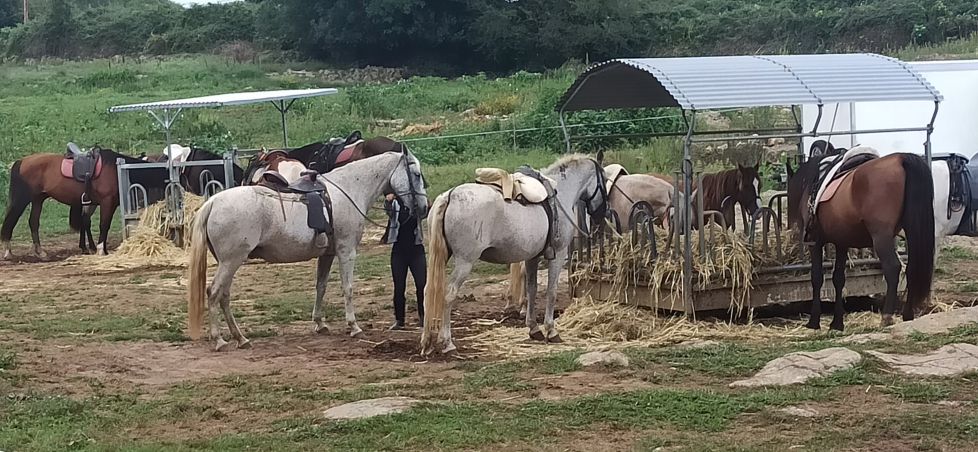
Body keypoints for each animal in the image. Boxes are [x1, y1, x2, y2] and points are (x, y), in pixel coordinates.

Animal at [2, 147, 168, 259]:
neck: (116, 169)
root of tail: (21, 161)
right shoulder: (107, 202)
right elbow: (104, 225)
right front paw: (101, 250)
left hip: (38, 199)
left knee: (33, 223)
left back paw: (40, 252)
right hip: (22, 200)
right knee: (10, 222)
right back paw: (8, 252)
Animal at [186, 150, 428, 351]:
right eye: (416, 174)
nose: (424, 208)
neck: (349, 189)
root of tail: (213, 202)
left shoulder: (327, 255)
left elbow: (321, 287)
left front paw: (320, 323)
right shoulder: (346, 251)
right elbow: (348, 288)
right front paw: (353, 326)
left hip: (230, 263)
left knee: (224, 296)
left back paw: (240, 338)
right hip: (231, 261)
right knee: (214, 293)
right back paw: (219, 339)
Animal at [420, 153, 609, 355]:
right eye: (605, 180)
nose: (602, 215)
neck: (560, 193)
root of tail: (450, 196)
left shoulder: (532, 257)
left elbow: (532, 289)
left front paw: (534, 328)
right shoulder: (557, 255)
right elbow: (551, 291)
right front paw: (551, 330)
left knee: (428, 291)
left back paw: (427, 341)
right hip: (465, 262)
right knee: (449, 294)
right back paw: (447, 343)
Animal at [786, 148, 935, 331]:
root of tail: (901, 158)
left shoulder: (815, 243)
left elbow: (817, 278)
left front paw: (814, 321)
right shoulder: (841, 243)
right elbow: (838, 278)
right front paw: (837, 323)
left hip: (881, 237)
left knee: (892, 268)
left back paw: (887, 317)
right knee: (912, 268)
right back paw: (908, 315)